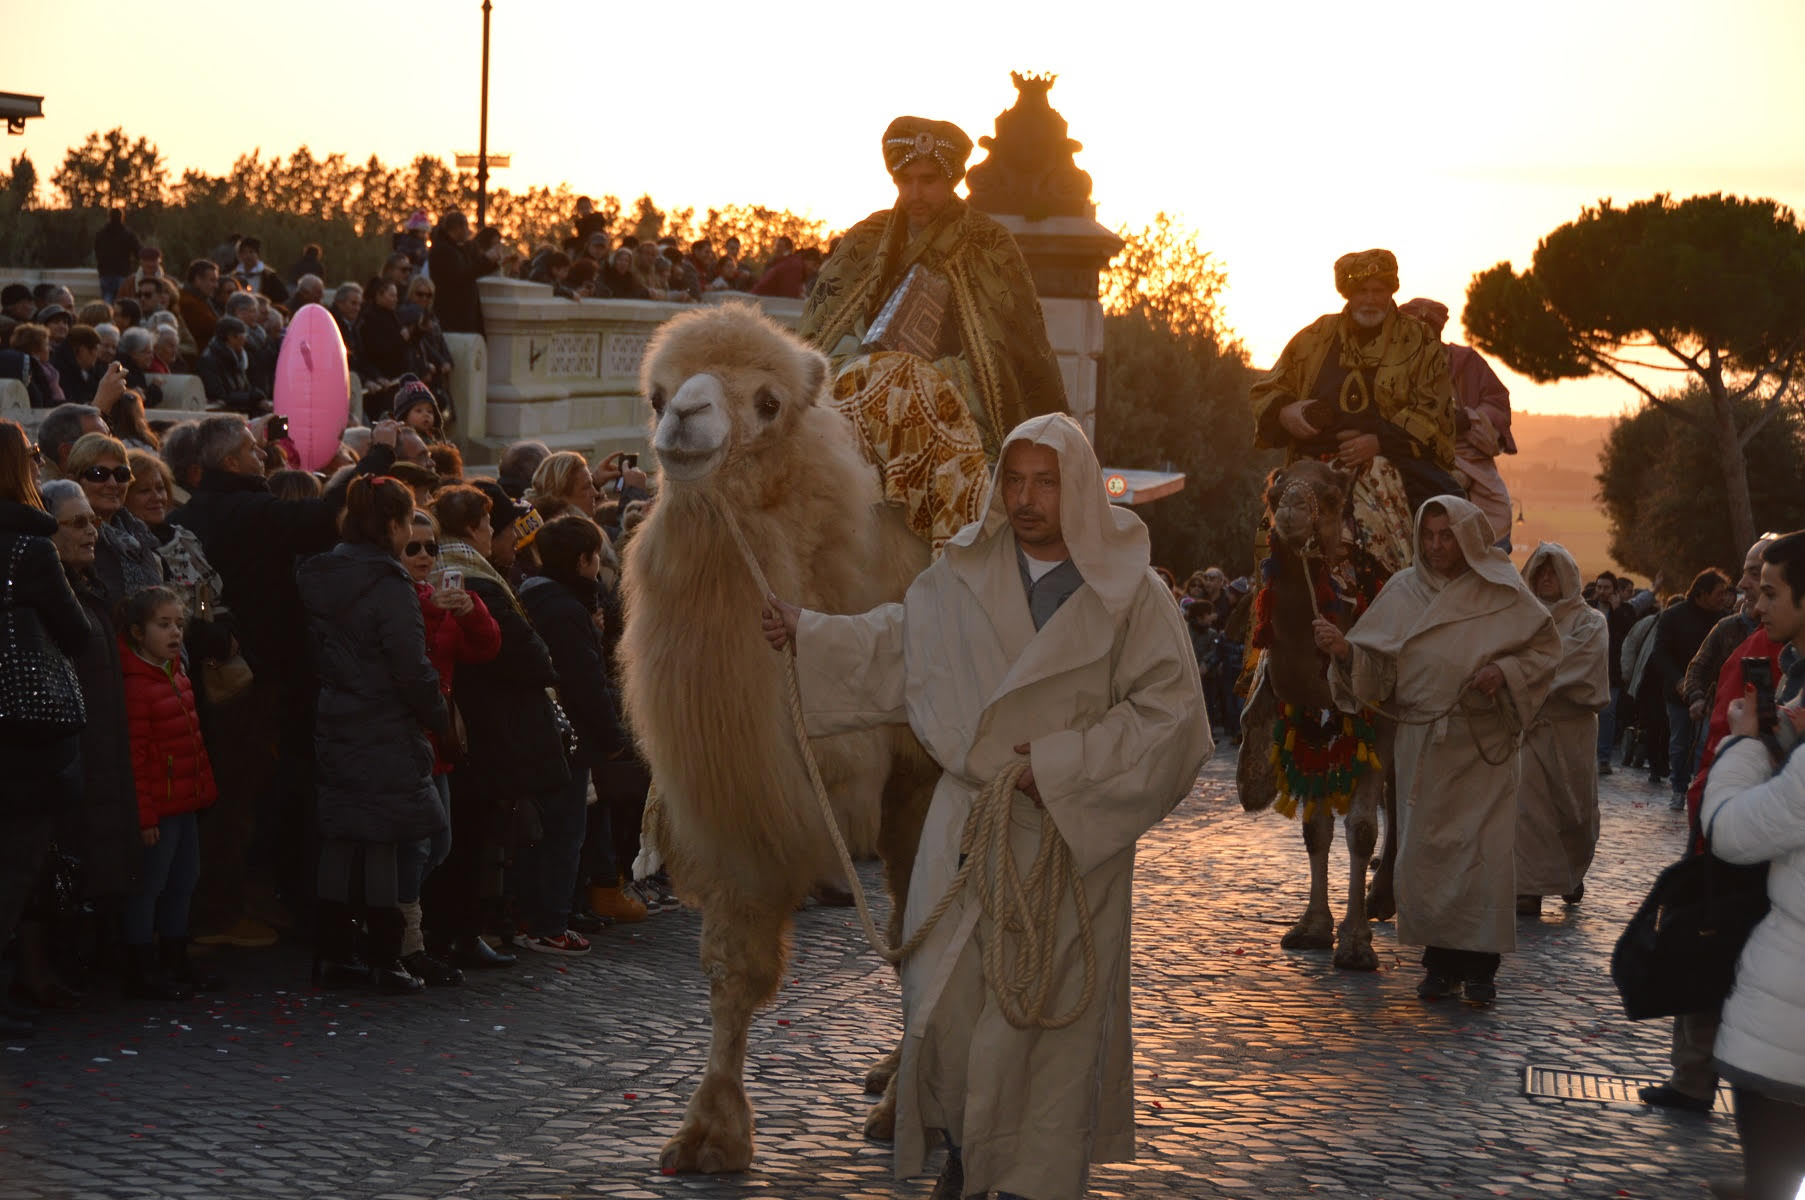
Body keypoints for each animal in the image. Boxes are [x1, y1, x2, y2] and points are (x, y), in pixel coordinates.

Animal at [613, 301, 938, 1169]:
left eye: (768, 403)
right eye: (656, 395)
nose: (684, 420)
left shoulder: (922, 779)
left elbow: (925, 939)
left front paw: (904, 1115)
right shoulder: (743, 808)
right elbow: (735, 967)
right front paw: (708, 1136)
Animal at [1241, 454, 1393, 967]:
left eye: (1328, 497)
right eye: (1273, 493)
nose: (1290, 510)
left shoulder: (1378, 723)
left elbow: (1362, 829)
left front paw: (1356, 944)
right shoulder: (1308, 717)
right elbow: (1315, 829)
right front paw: (1312, 927)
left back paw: (1386, 897)